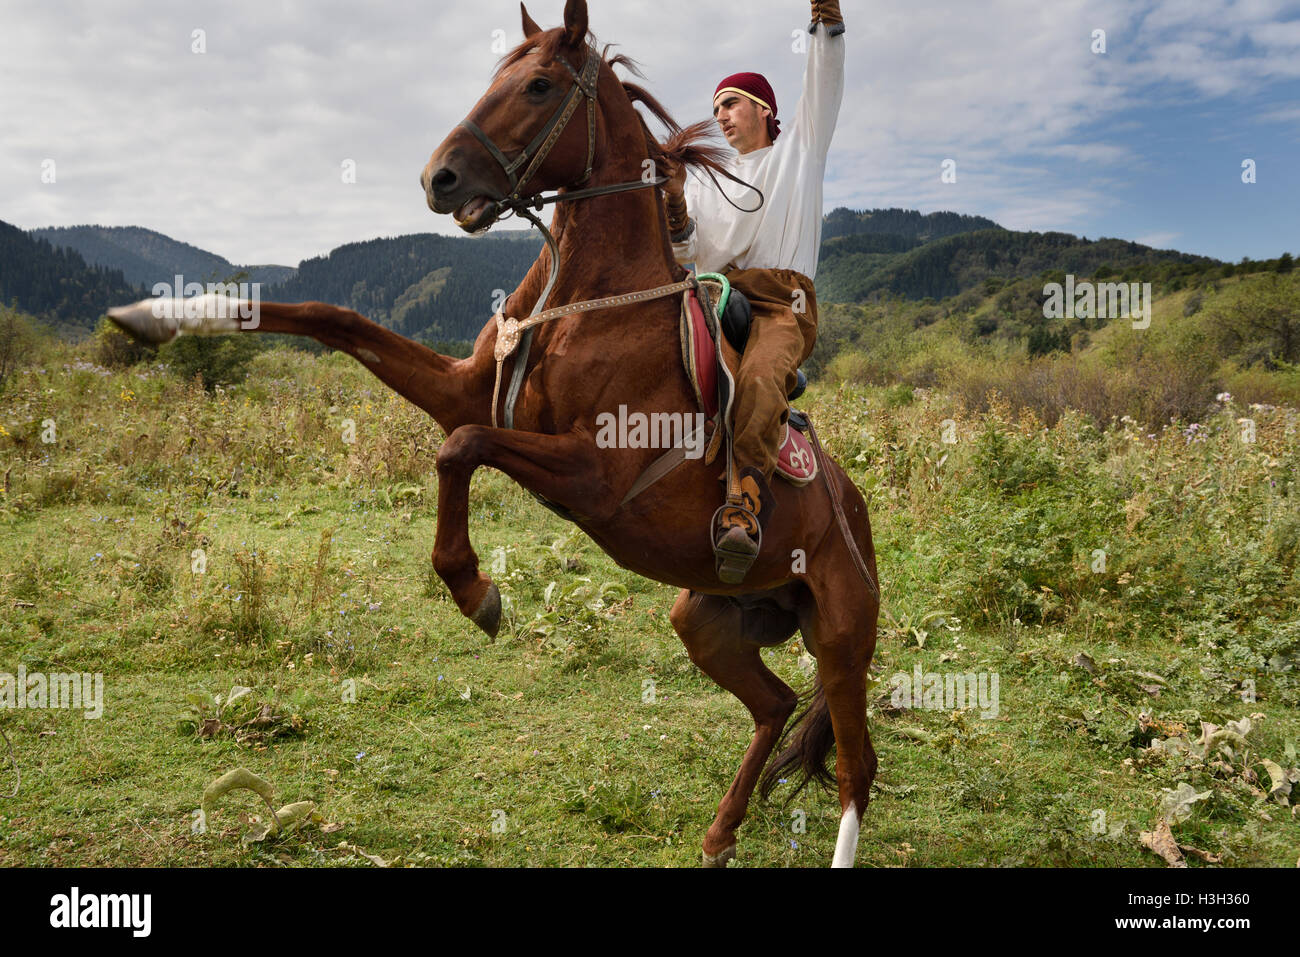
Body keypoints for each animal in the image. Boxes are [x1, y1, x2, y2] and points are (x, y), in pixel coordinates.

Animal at [109, 0, 883, 868]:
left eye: (540, 85)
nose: (437, 178)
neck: (584, 303)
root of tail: (855, 511)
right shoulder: (460, 391)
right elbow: (330, 319)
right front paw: (157, 316)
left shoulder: (595, 477)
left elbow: (462, 447)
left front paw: (474, 589)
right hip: (708, 620)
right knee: (775, 704)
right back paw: (719, 834)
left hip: (842, 638)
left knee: (854, 769)